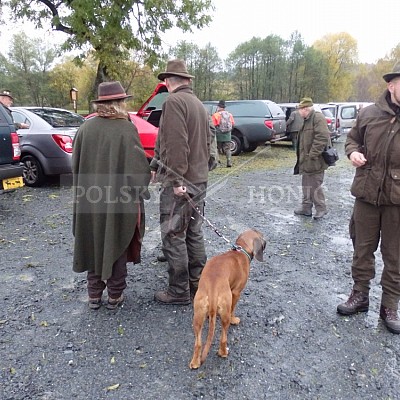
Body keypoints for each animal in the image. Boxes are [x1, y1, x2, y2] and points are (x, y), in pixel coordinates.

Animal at [188, 228, 266, 368]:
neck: (241, 250)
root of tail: (213, 288)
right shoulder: (236, 292)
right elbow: (233, 310)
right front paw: (234, 319)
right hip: (224, 312)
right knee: (223, 337)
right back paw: (223, 352)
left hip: (198, 315)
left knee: (198, 343)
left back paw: (195, 362)